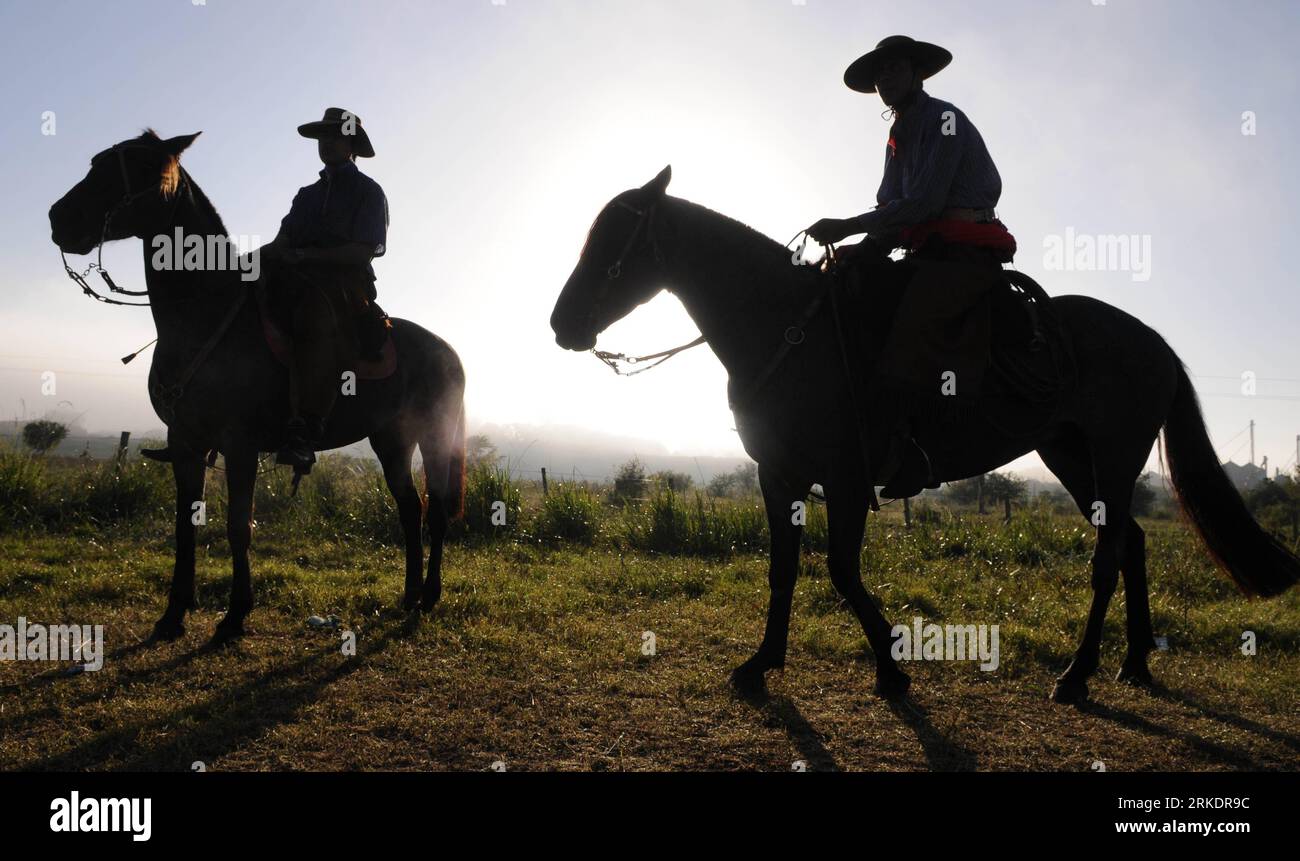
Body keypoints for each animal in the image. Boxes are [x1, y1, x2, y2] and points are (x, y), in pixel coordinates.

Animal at [52, 128, 467, 639]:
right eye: (99, 162)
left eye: (142, 168)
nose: (59, 218)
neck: (203, 316)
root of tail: (448, 351)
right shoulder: (185, 442)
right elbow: (185, 525)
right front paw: (173, 614)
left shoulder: (240, 443)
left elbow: (238, 525)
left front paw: (235, 615)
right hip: (391, 440)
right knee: (411, 509)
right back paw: (409, 594)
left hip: (434, 435)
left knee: (438, 512)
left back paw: (429, 596)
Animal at [551, 169, 1300, 707]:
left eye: (613, 242)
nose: (563, 323)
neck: (790, 330)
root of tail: (1155, 343)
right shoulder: (778, 475)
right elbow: (783, 569)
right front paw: (761, 662)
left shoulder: (846, 477)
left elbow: (842, 570)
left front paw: (891, 666)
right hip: (1068, 452)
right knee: (1134, 544)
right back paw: (1134, 662)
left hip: (1115, 453)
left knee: (1109, 555)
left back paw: (1076, 673)